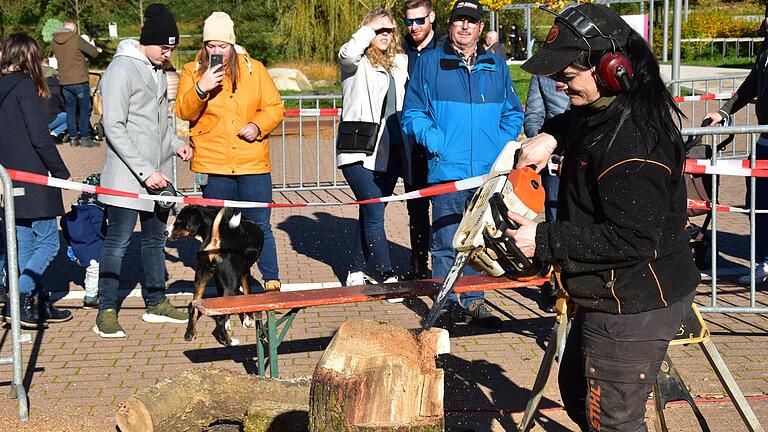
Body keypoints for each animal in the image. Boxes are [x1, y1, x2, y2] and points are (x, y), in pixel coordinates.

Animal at [165, 206, 264, 348]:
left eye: (179, 220)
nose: (165, 232)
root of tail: (216, 239)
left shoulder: (217, 279)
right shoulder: (245, 272)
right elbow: (247, 294)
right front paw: (248, 321)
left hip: (200, 280)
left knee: (193, 308)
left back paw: (190, 334)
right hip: (232, 284)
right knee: (220, 320)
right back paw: (229, 341)